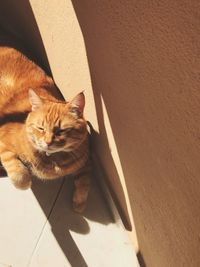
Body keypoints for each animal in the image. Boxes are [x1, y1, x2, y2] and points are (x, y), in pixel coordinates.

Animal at [0, 46, 91, 214]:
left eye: (61, 130)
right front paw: (26, 181)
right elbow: (19, 175)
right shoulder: (3, 140)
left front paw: (79, 203)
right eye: (41, 128)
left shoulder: (85, 160)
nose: (48, 142)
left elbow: (84, 182)